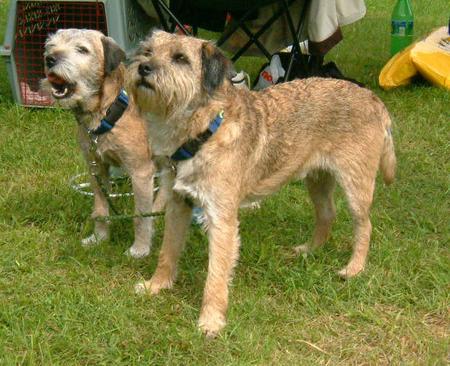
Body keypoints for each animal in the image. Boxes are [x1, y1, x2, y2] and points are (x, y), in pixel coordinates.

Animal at [41, 29, 165, 258]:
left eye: (82, 49)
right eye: (50, 46)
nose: (50, 59)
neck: (108, 109)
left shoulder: (141, 173)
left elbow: (140, 216)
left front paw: (140, 250)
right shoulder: (97, 169)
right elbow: (100, 208)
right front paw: (99, 238)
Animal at [126, 30, 394, 336]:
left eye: (180, 58)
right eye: (147, 52)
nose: (143, 68)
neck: (203, 130)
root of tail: (373, 99)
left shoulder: (221, 220)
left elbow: (216, 274)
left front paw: (211, 320)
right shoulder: (178, 205)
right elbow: (167, 252)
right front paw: (156, 286)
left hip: (355, 186)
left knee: (364, 226)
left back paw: (354, 268)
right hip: (317, 180)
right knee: (327, 214)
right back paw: (309, 250)